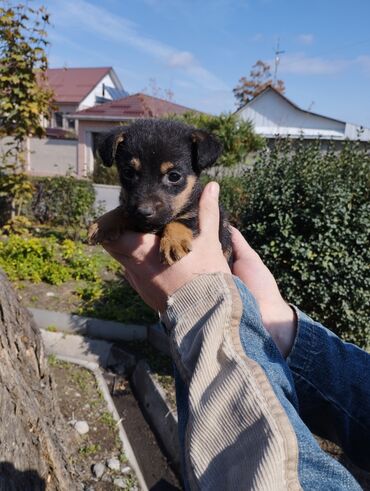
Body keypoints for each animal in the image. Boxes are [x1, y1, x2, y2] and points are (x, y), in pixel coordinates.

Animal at [87, 119, 231, 266]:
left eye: (174, 176)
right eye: (128, 173)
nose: (144, 212)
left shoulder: (196, 210)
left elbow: (183, 218)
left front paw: (173, 242)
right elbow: (122, 209)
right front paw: (103, 223)